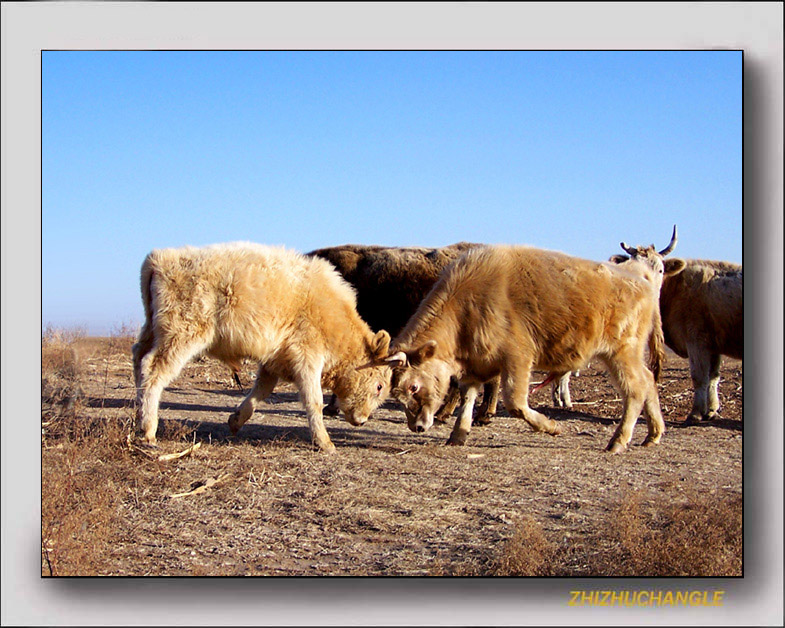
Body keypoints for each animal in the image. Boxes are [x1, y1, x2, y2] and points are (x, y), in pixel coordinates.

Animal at [133, 243, 398, 454]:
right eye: (379, 386)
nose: (362, 421)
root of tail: (161, 257)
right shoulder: (307, 359)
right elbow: (313, 400)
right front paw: (325, 442)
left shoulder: (274, 362)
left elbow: (259, 392)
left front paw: (235, 420)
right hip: (181, 336)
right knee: (153, 370)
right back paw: (148, 429)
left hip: (152, 331)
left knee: (138, 358)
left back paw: (138, 417)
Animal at [386, 243, 668, 454]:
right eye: (396, 394)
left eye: (414, 387)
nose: (417, 427)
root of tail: (642, 281)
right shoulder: (475, 366)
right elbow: (468, 399)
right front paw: (458, 434)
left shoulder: (518, 358)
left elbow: (515, 403)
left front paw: (551, 426)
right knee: (648, 380)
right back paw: (653, 434)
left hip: (622, 352)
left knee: (635, 389)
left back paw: (618, 441)